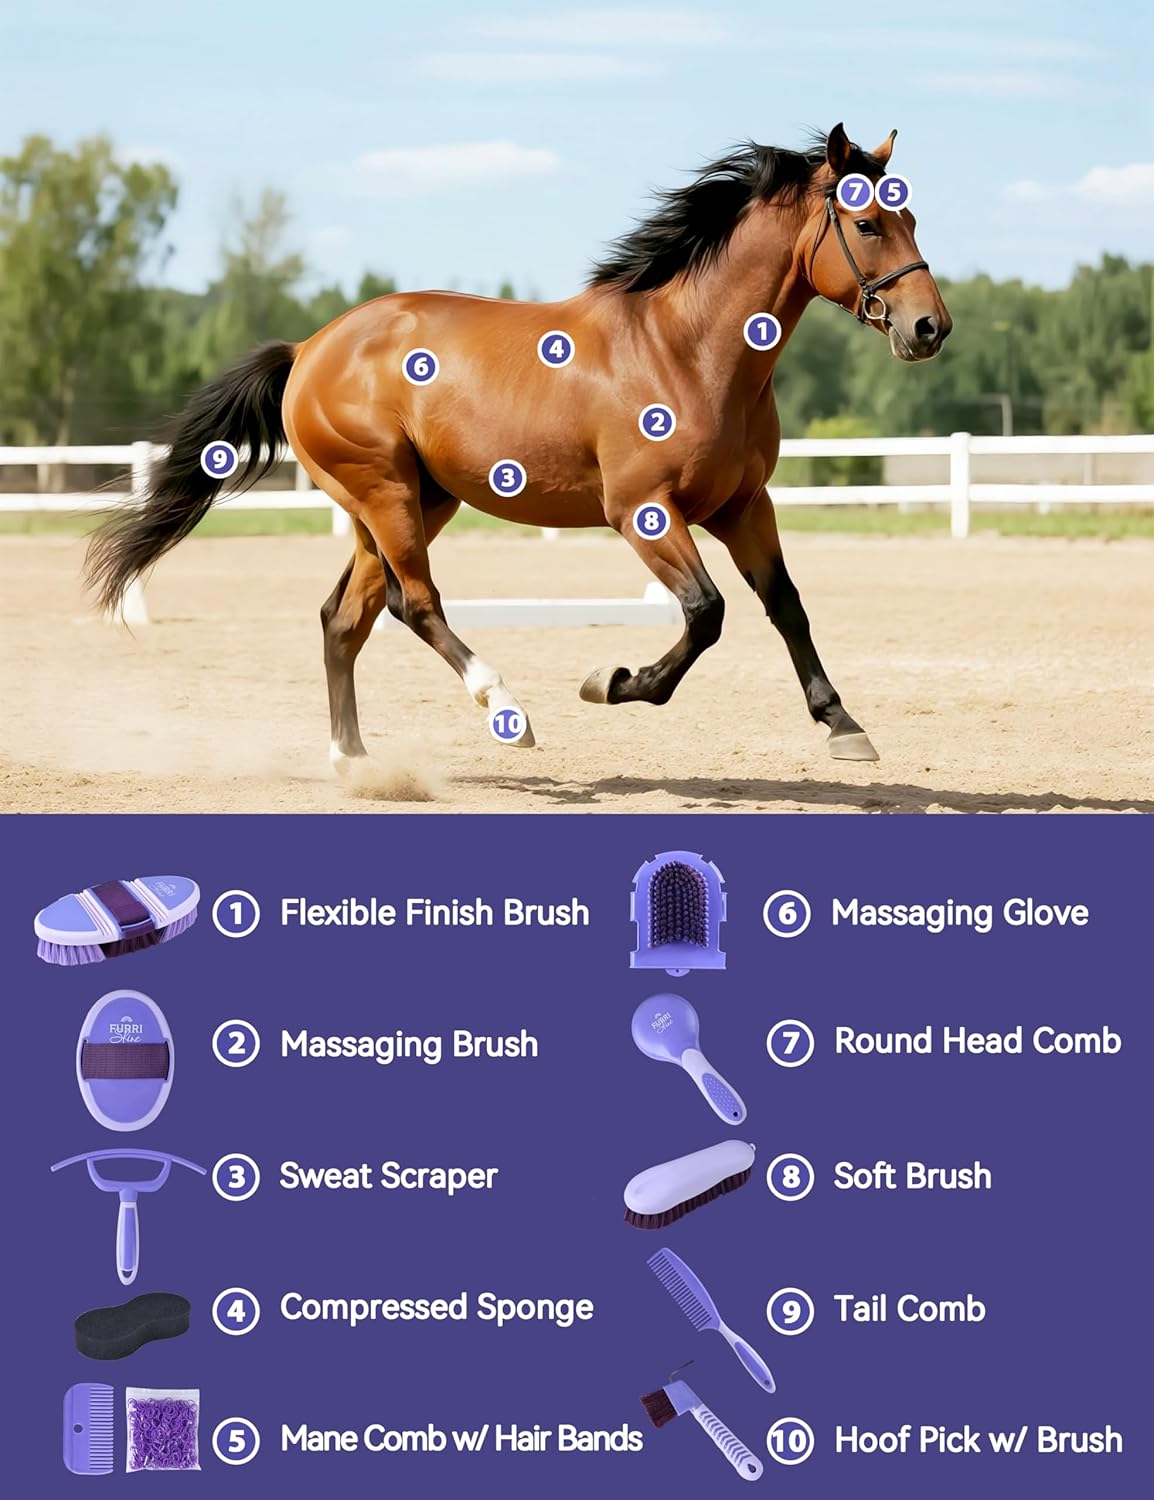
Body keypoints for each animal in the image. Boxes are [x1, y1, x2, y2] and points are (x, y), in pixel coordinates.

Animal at [87, 123, 951, 771]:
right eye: (868, 223)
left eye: (911, 220)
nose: (930, 328)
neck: (688, 349)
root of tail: (309, 348)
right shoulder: (642, 511)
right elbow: (706, 613)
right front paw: (612, 682)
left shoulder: (744, 505)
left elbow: (785, 605)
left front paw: (843, 726)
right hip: (385, 495)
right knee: (412, 602)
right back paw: (506, 710)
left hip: (408, 503)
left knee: (345, 617)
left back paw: (356, 762)